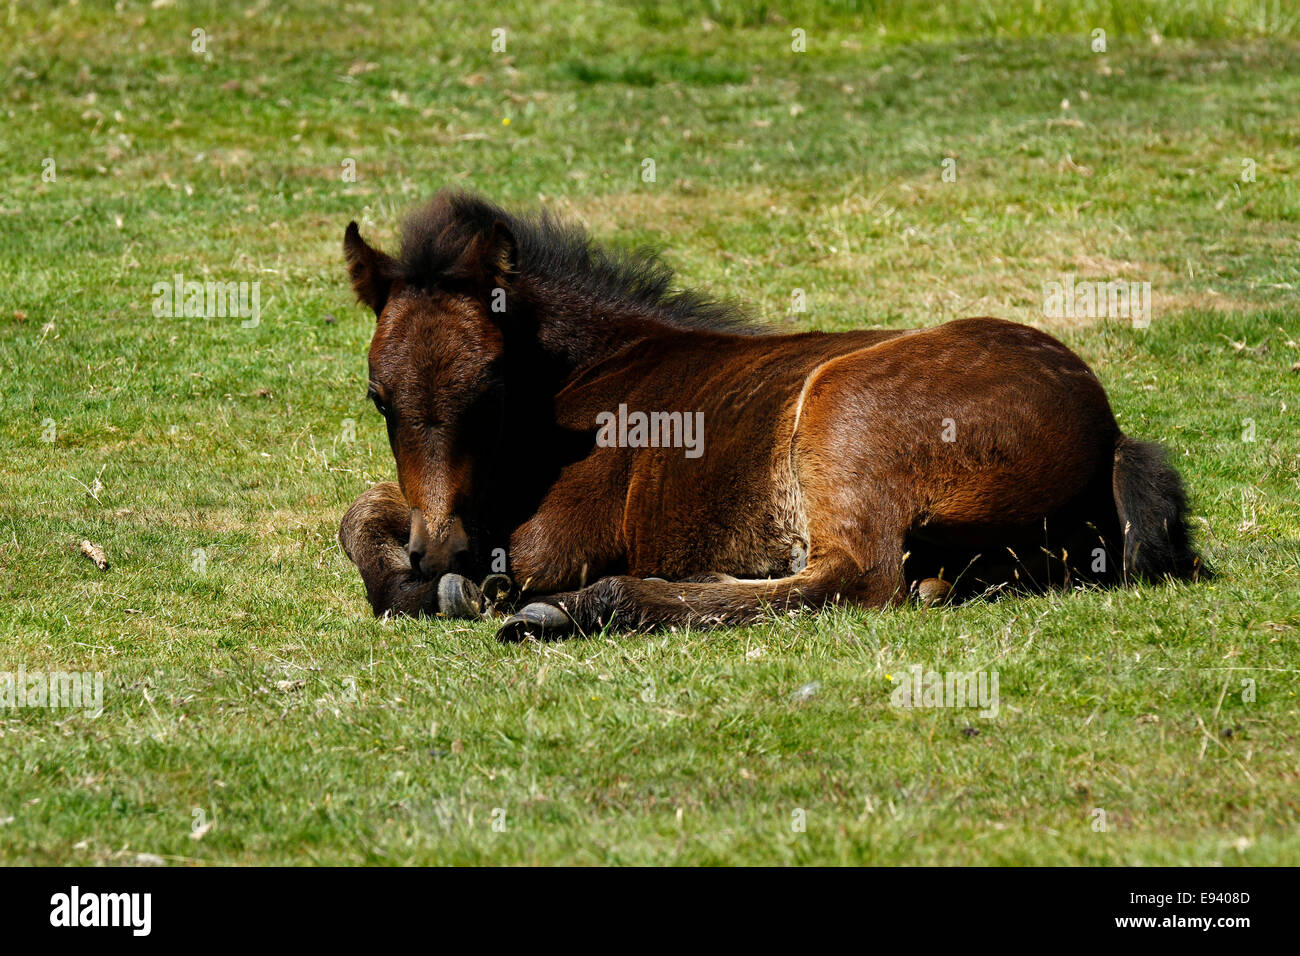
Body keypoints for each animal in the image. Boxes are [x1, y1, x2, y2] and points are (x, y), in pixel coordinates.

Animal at [338, 191, 1206, 642]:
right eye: (379, 397)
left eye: (489, 389)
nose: (438, 548)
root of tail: (1109, 431)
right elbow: (362, 513)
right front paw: (415, 577)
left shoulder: (556, 534)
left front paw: (453, 589)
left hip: (843, 410)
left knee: (857, 578)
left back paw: (580, 608)